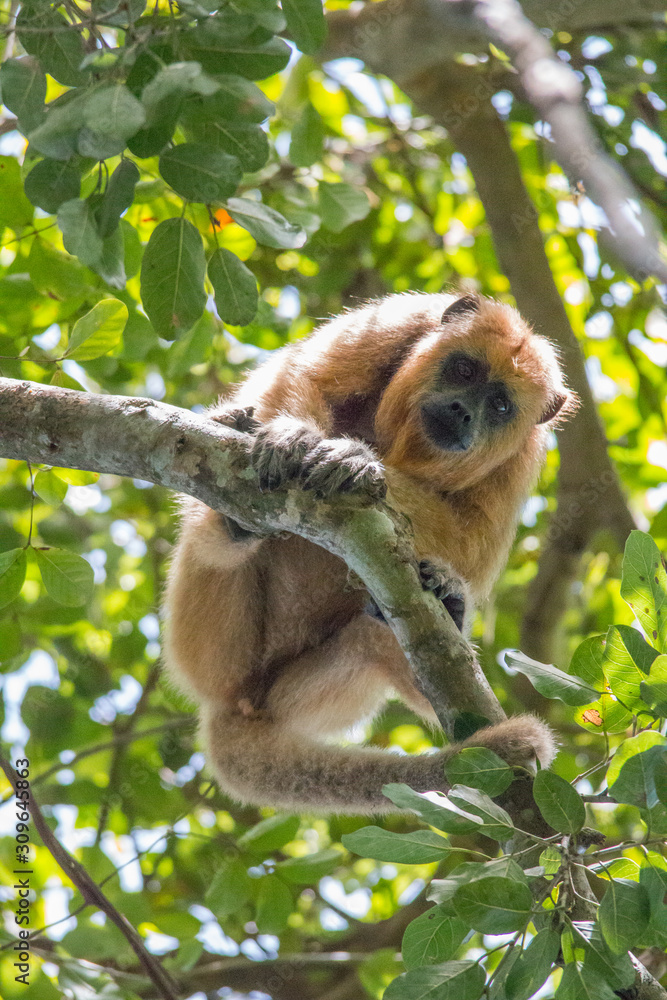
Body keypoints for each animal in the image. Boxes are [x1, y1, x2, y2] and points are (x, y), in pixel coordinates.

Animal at [163, 292, 575, 815]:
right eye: (465, 370)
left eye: (500, 405)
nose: (463, 411)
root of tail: (232, 706)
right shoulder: (396, 322)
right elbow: (307, 376)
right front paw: (298, 436)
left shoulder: (522, 459)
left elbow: (470, 542)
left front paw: (356, 459)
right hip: (206, 645)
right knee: (211, 534)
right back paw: (230, 525)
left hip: (307, 695)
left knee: (384, 632)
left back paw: (447, 611)